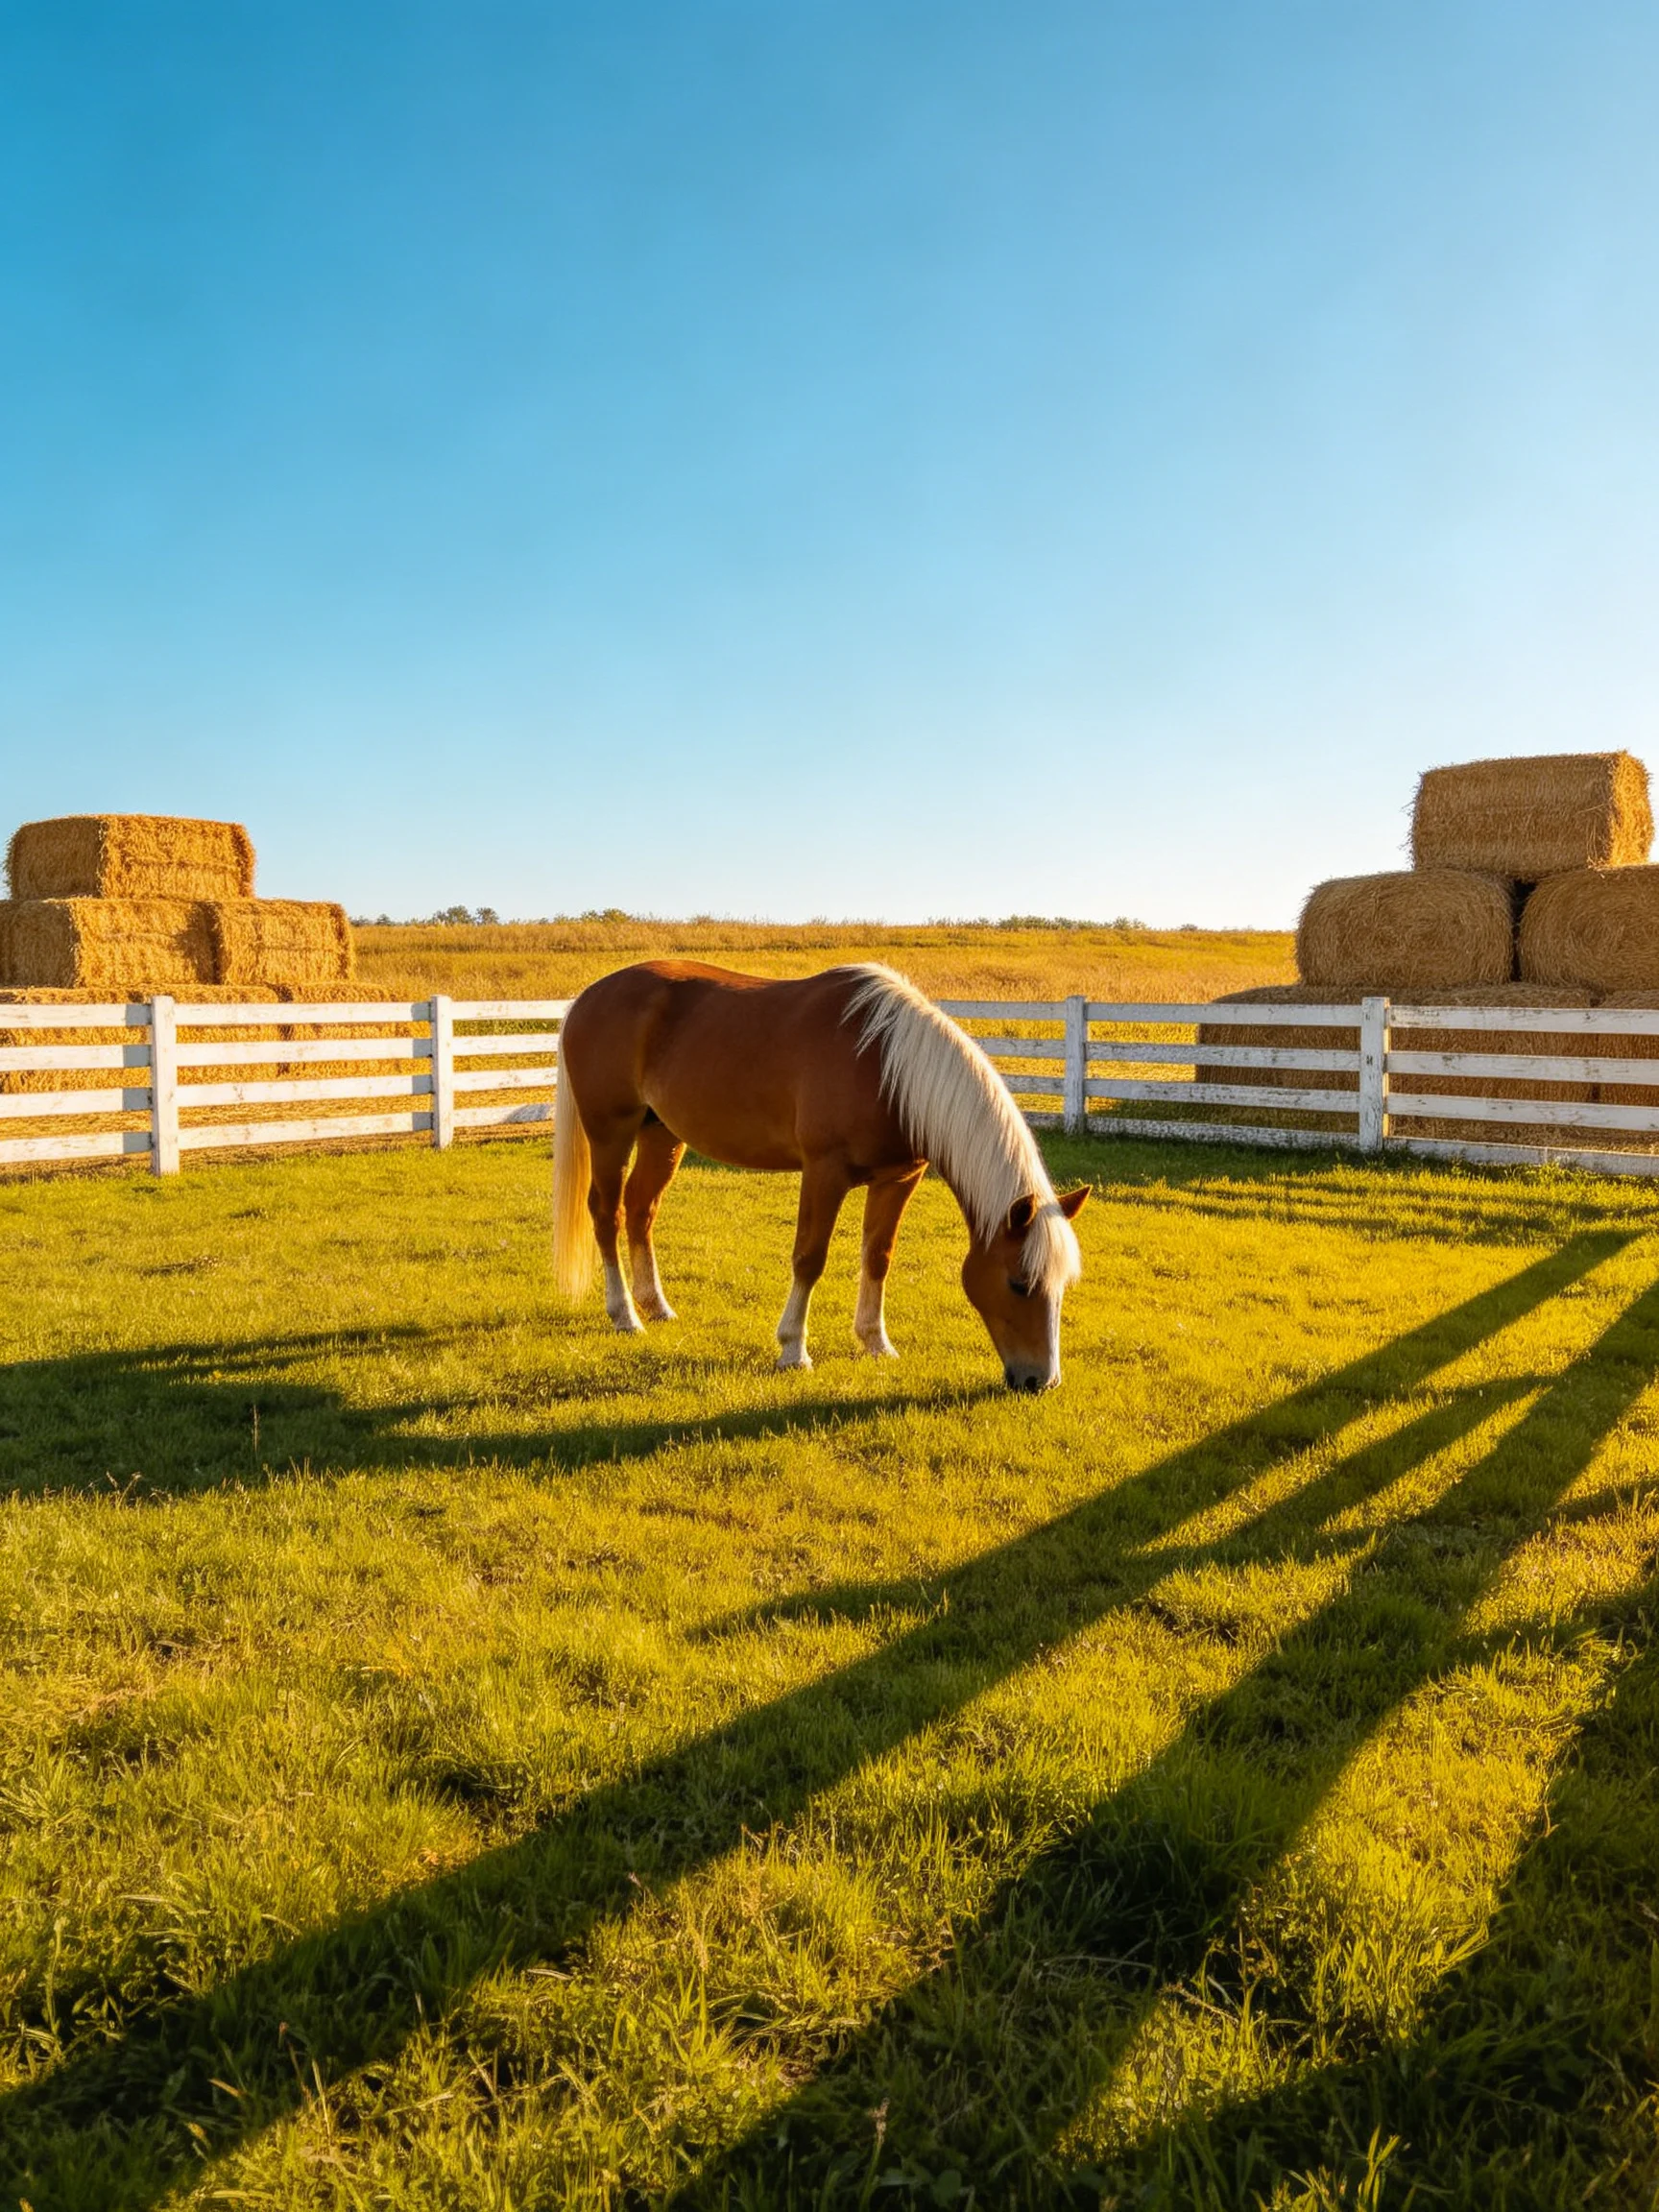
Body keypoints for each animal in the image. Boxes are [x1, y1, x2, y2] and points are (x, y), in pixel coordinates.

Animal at [551, 960, 1088, 1390]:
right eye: (1019, 1283)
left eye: (1061, 1284)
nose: (1041, 1381)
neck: (886, 1065)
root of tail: (587, 998)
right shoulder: (824, 1173)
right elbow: (810, 1258)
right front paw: (793, 1350)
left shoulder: (898, 1179)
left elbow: (878, 1257)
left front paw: (875, 1342)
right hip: (610, 1132)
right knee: (607, 1213)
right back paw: (625, 1316)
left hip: (661, 1134)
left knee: (641, 1210)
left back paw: (656, 1306)